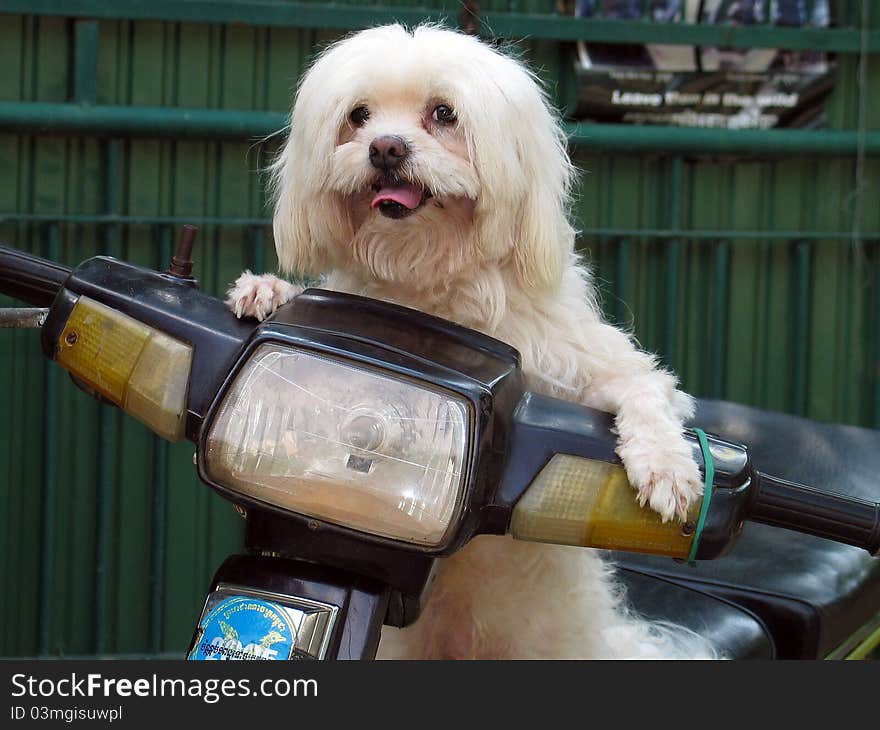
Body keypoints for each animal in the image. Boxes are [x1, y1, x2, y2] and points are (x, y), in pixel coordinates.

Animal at [229, 25, 716, 656]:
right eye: (358, 115)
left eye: (444, 113)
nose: (385, 148)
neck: (431, 277)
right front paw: (267, 289)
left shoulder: (583, 369)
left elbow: (642, 390)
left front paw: (666, 467)